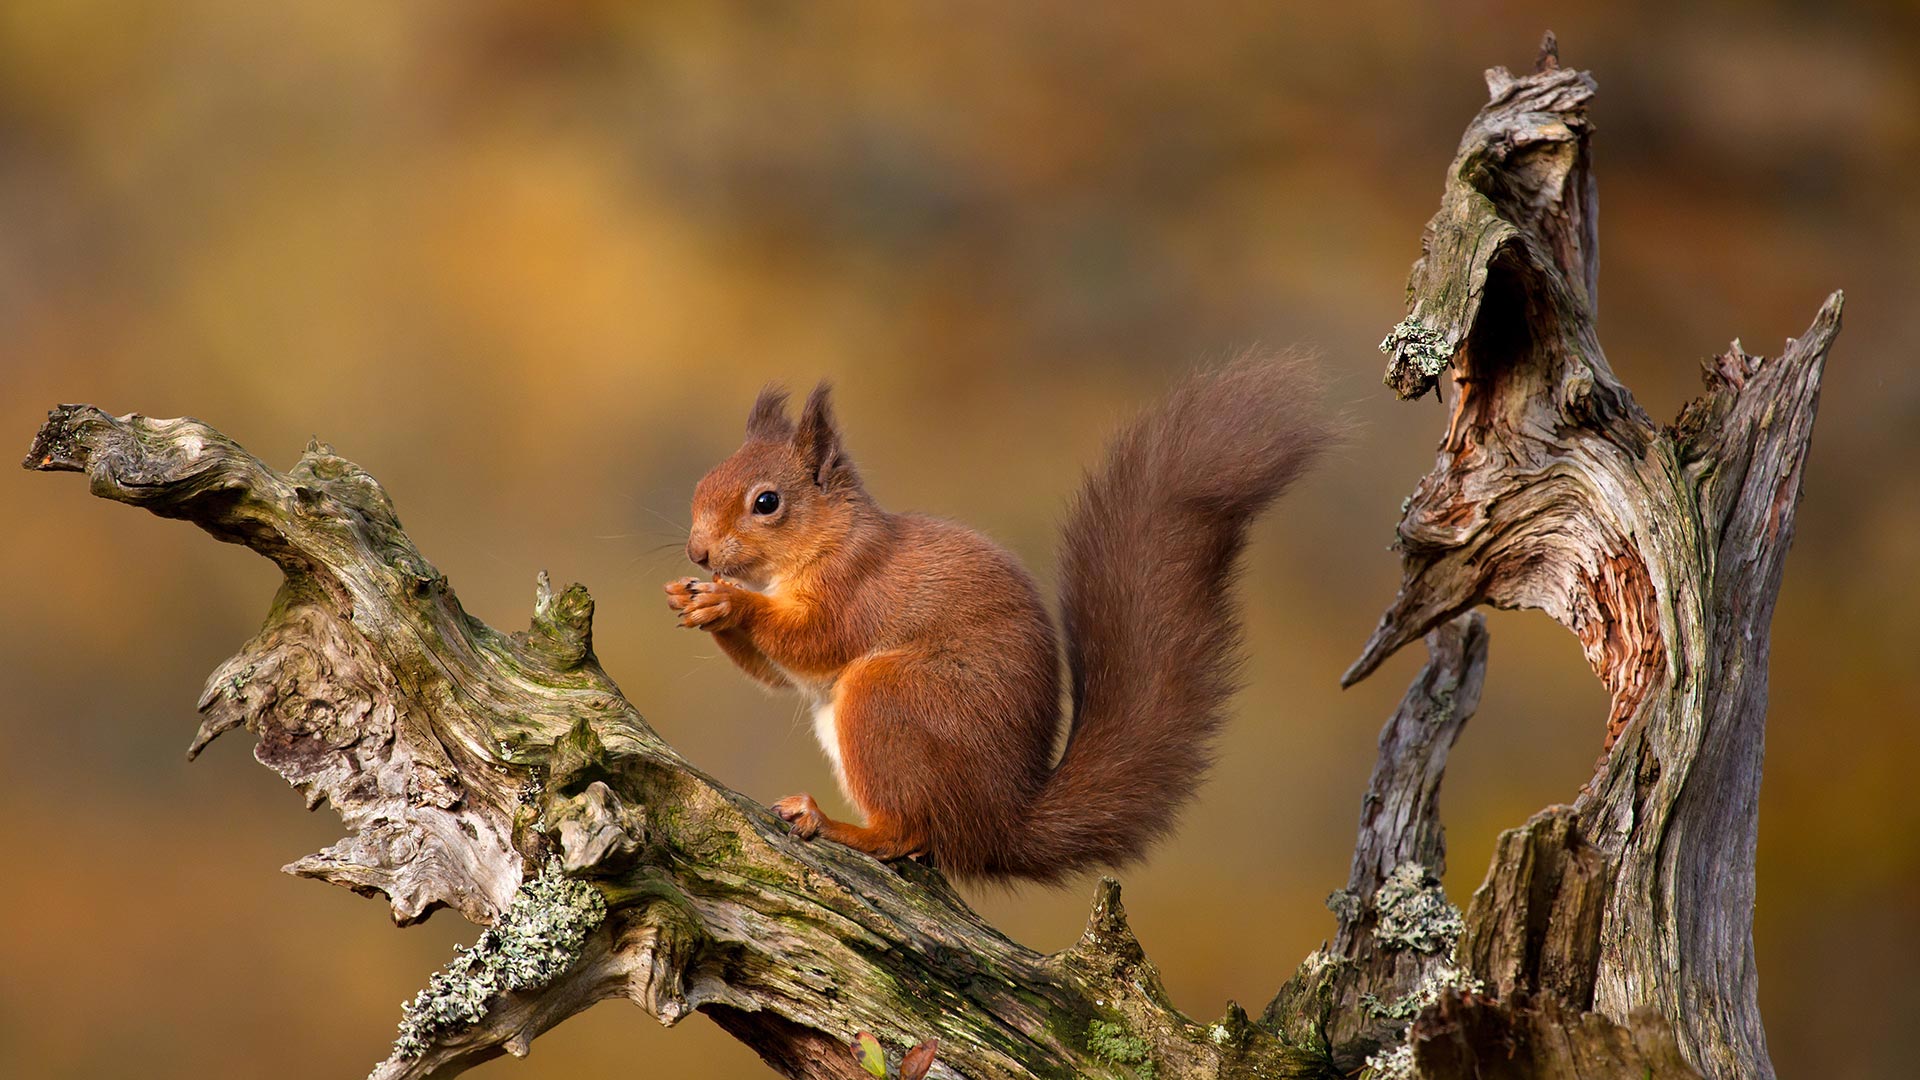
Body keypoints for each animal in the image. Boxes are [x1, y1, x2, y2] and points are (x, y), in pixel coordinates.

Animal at [668, 357, 1328, 880]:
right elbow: (777, 676)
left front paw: (729, 600)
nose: (697, 553)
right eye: (701, 483)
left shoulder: (857, 591)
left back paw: (834, 824)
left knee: (905, 831)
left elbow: (812, 642)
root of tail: (999, 824)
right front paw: (692, 597)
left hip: (889, 698)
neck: (828, 542)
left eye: (767, 502)